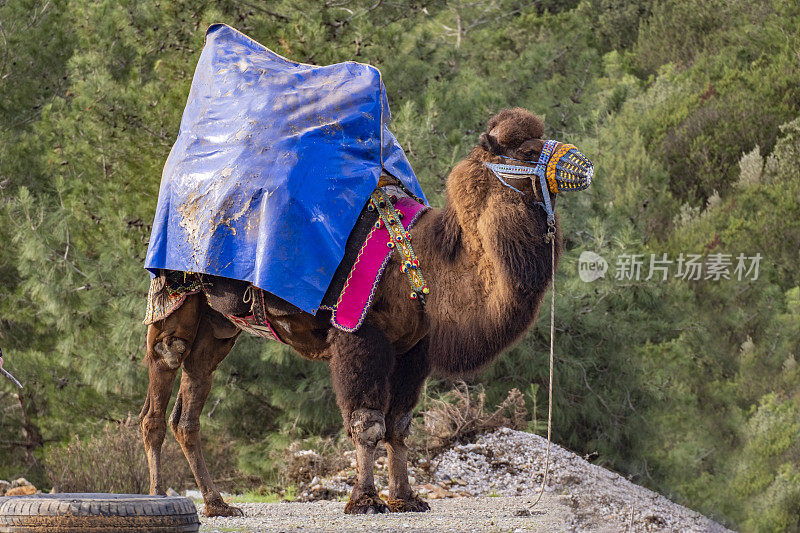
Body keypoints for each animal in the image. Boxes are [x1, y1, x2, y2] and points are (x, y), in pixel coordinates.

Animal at [139, 107, 564, 516]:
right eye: (528, 151)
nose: (574, 161)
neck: (421, 260)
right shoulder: (359, 333)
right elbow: (367, 423)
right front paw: (365, 500)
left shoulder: (413, 349)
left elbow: (399, 425)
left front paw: (406, 498)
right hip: (173, 300)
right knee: (159, 391)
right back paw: (159, 497)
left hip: (218, 326)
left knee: (189, 408)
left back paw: (217, 504)